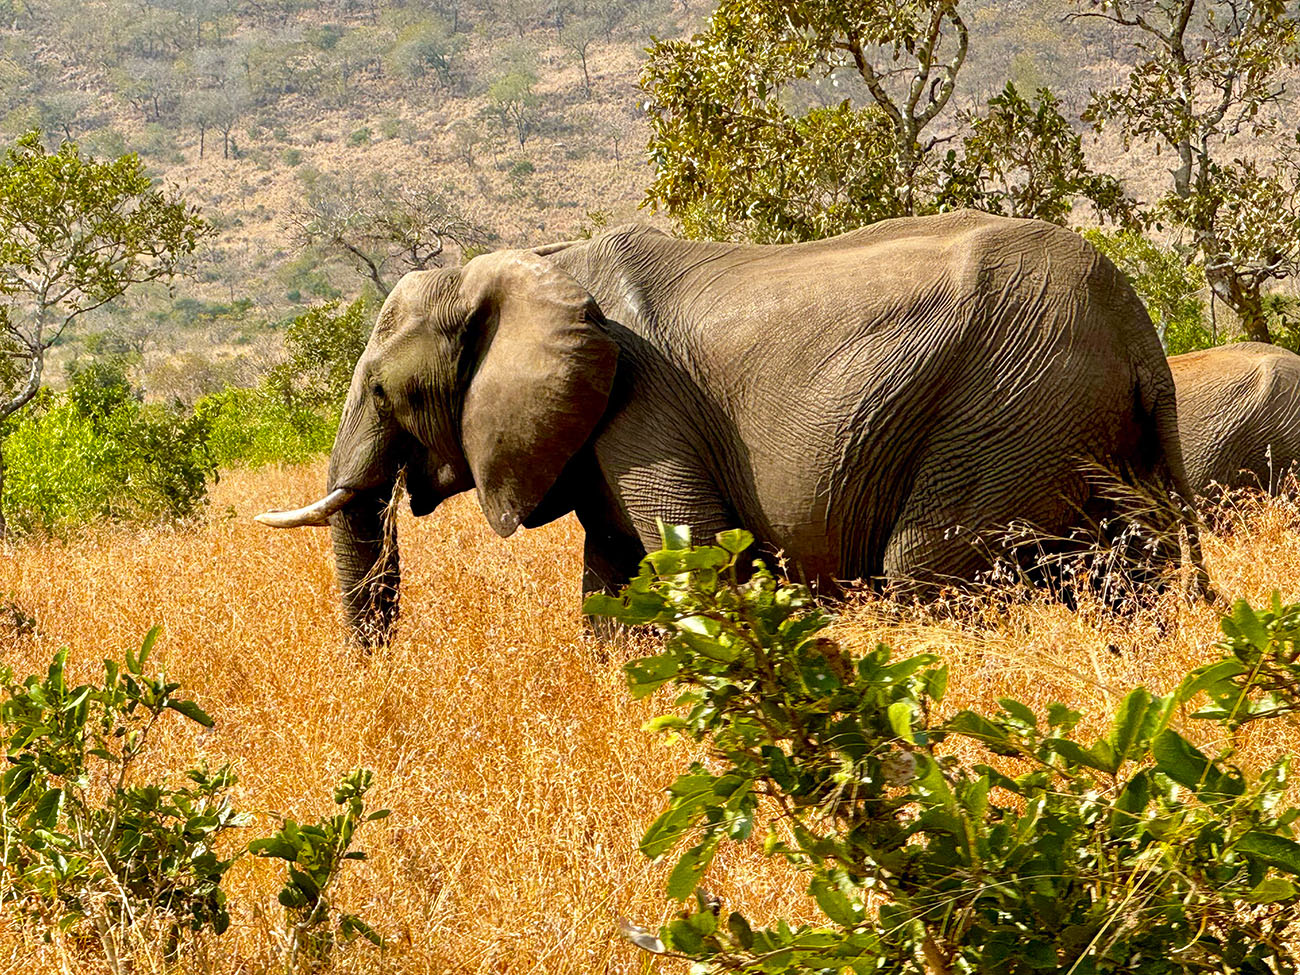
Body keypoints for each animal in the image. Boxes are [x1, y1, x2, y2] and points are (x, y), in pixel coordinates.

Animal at [258, 210, 1201, 644]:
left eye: (385, 391)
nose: (375, 684)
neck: (534, 263)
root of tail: (1138, 333)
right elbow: (615, 590)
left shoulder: (646, 413)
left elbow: (696, 561)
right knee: (1129, 582)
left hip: (1007, 413)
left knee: (930, 574)